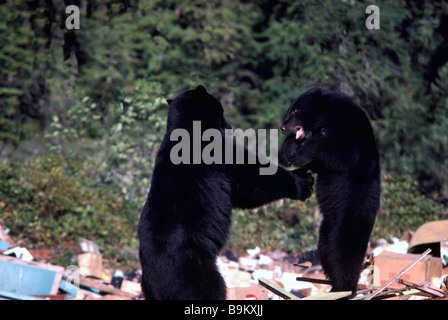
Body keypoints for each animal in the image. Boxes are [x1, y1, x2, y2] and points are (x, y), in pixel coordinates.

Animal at [138, 85, 314, 300]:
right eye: (221, 110)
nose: (229, 126)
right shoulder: (219, 154)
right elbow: (252, 181)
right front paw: (302, 183)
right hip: (193, 268)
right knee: (208, 289)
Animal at [280, 86, 382, 294]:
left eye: (296, 110)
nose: (283, 127)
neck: (331, 116)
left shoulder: (352, 135)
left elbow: (337, 153)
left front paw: (302, 151)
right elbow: (317, 163)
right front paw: (290, 149)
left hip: (351, 219)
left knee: (343, 254)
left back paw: (344, 288)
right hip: (327, 228)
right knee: (326, 251)